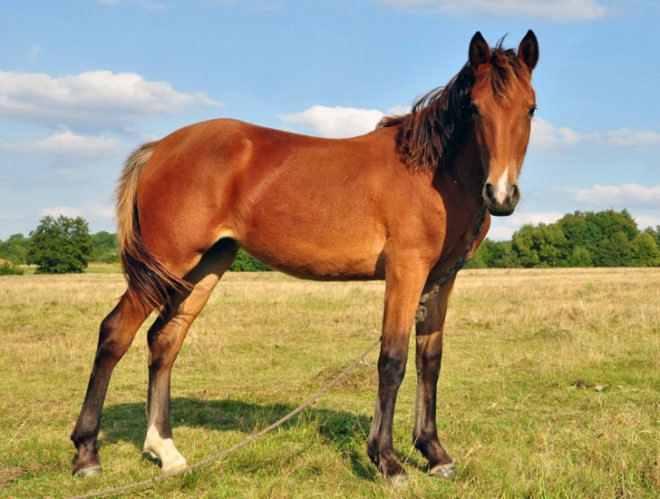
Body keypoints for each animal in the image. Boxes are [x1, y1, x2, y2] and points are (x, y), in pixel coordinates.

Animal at [71, 30, 539, 481]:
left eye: (531, 109)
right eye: (474, 109)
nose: (500, 195)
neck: (433, 172)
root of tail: (161, 147)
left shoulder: (441, 278)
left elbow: (430, 360)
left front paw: (434, 453)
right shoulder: (406, 271)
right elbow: (392, 360)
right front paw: (386, 461)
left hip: (206, 266)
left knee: (164, 341)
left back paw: (165, 451)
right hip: (168, 262)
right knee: (115, 333)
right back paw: (87, 454)